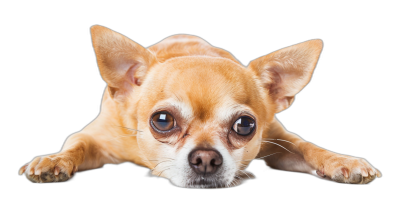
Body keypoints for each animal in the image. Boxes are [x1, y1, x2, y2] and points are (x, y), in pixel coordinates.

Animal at [18, 25, 382, 188]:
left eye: (245, 126)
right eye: (163, 120)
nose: (206, 158)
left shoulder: (279, 141)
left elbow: (308, 147)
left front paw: (343, 161)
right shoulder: (97, 138)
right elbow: (76, 144)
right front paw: (53, 161)